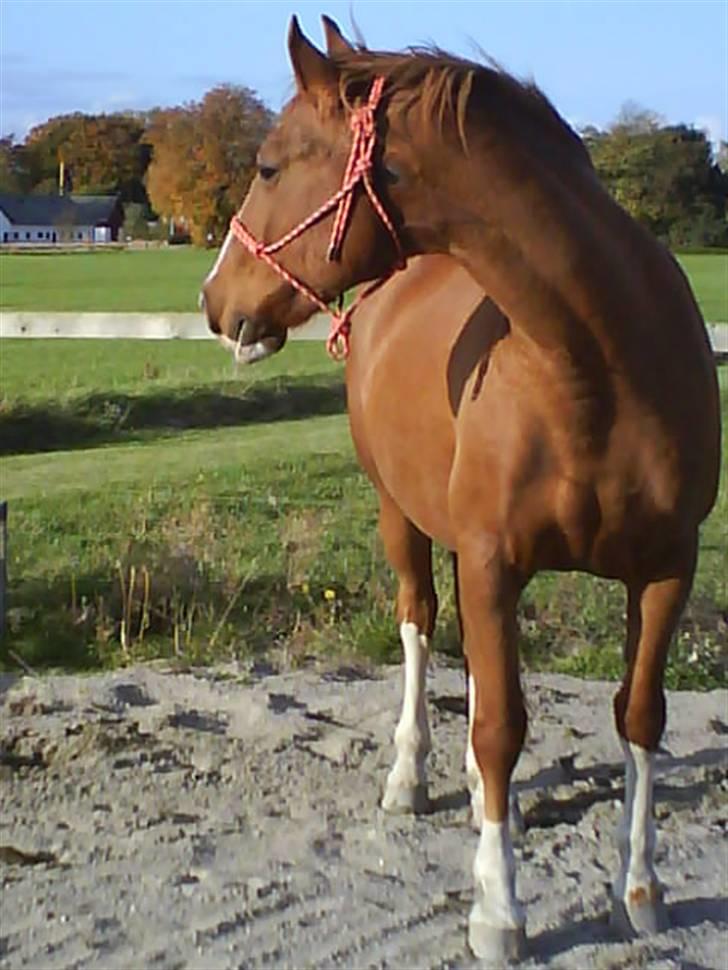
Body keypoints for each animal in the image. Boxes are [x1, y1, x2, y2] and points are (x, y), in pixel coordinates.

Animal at [200, 15, 724, 960]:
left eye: (267, 166)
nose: (215, 301)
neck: (594, 372)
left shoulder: (668, 568)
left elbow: (638, 718)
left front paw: (640, 888)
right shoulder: (488, 561)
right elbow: (496, 727)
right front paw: (498, 911)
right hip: (400, 518)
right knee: (419, 626)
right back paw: (411, 777)